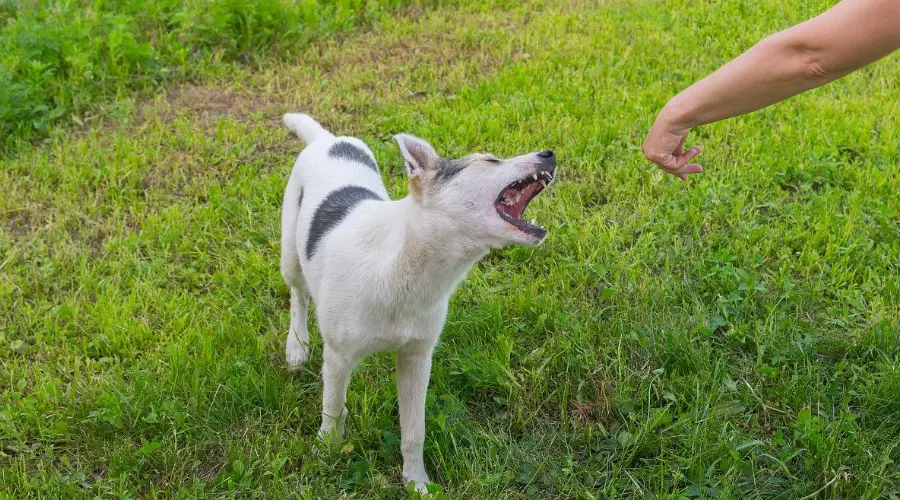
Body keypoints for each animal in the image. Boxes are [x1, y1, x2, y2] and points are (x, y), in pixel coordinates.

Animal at [280, 113, 556, 492]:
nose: (550, 154)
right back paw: (297, 345)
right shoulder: (337, 358)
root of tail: (327, 140)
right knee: (298, 294)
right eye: (489, 161)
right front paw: (327, 452)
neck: (403, 265)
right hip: (290, 253)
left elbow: (414, 430)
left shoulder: (417, 359)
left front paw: (416, 482)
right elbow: (333, 408)